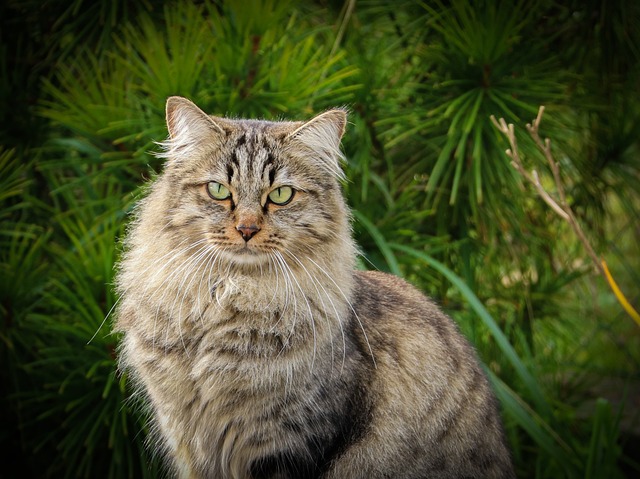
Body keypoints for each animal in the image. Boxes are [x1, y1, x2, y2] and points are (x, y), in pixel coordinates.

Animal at [114, 95, 516, 478]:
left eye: (280, 195)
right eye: (218, 190)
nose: (246, 229)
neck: (228, 301)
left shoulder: (290, 442)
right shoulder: (184, 437)